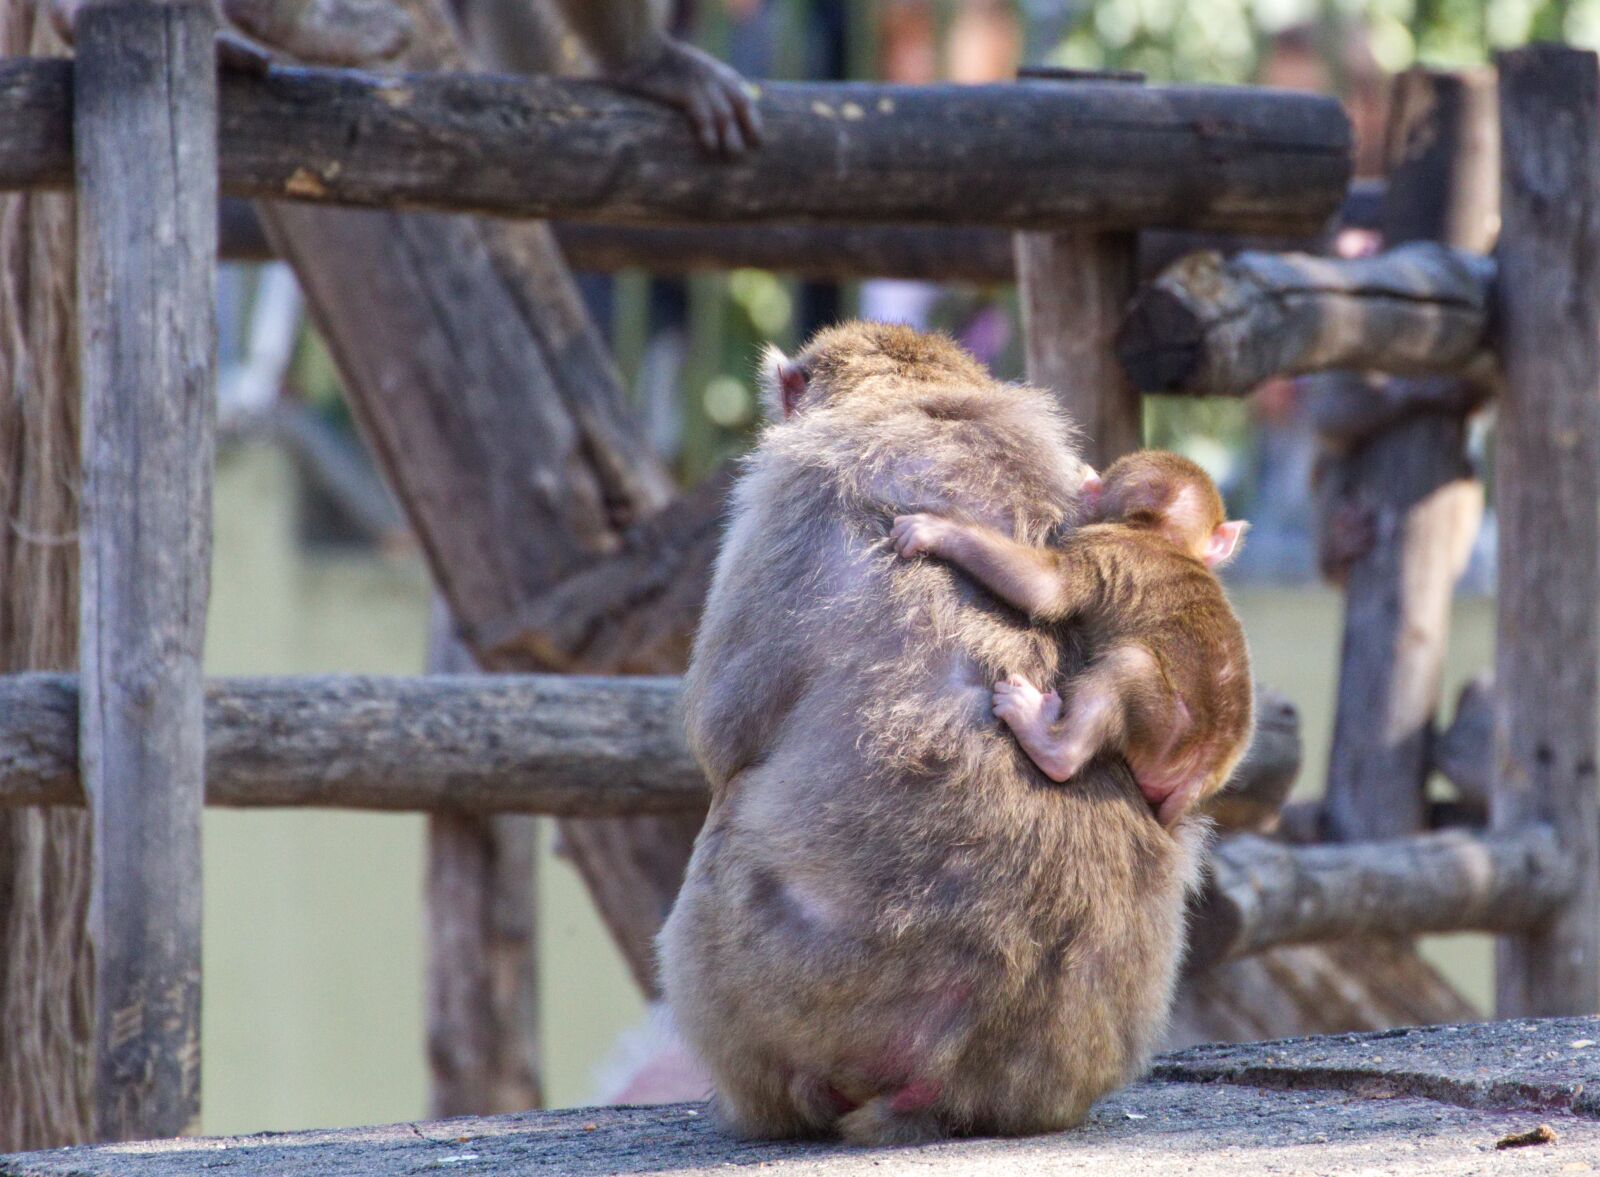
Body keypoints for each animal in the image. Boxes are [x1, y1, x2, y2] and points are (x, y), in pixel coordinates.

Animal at [659, 322, 1208, 1147]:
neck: (923, 399)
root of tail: (952, 1079)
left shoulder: (787, 492)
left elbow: (724, 731)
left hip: (779, 989)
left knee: (722, 849)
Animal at [890, 450, 1253, 829]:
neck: (1162, 537)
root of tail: (1200, 771)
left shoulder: (1099, 546)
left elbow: (1046, 589)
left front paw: (938, 531)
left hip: (1164, 730)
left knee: (1129, 664)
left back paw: (1051, 745)